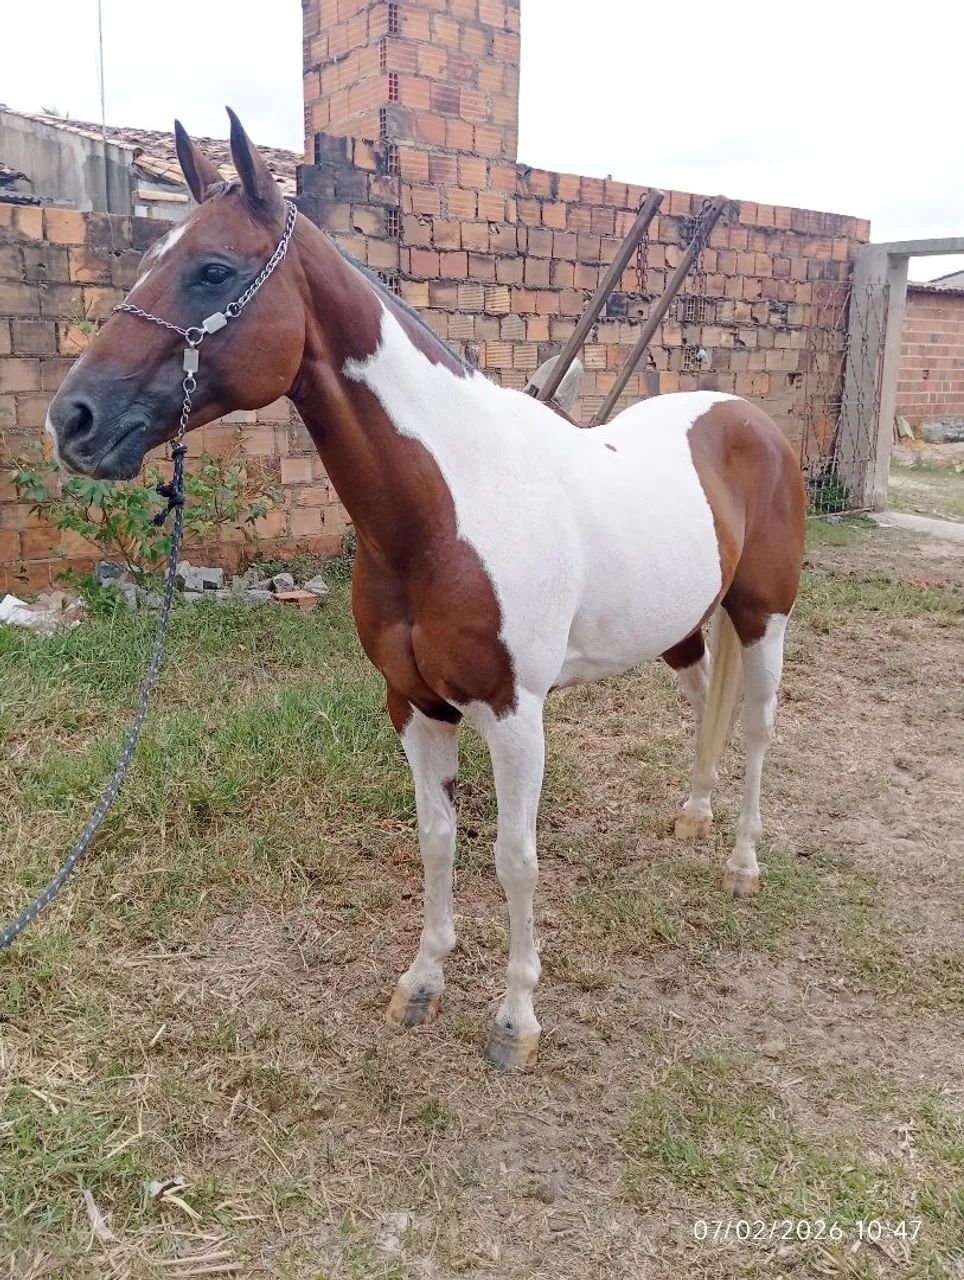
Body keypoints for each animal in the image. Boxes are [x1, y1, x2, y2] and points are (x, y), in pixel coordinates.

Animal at [46, 110, 807, 1071]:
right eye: (148, 256)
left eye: (212, 269)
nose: (72, 420)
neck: (450, 504)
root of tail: (749, 418)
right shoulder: (412, 704)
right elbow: (437, 840)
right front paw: (423, 983)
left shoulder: (515, 714)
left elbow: (515, 859)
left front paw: (516, 1021)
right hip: (680, 627)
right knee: (706, 695)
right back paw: (695, 817)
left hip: (764, 616)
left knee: (757, 728)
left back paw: (742, 863)